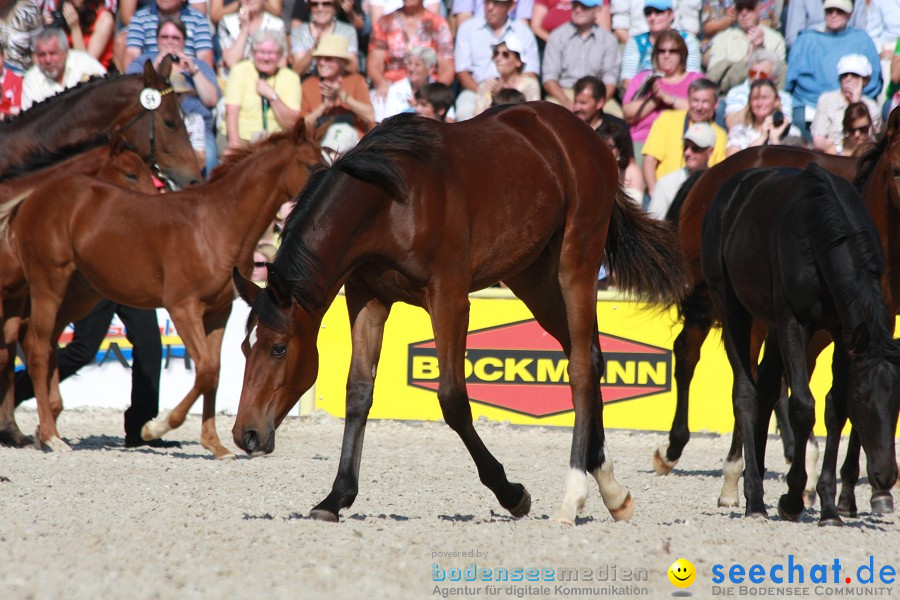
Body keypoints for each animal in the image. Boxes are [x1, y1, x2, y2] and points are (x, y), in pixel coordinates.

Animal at [230, 104, 688, 524]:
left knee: (579, 367)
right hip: (533, 277)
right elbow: (358, 392)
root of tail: (583, 134)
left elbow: (452, 398)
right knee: (590, 356)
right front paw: (336, 496)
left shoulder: (449, 298)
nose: (244, 433)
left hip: (576, 263)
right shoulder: (367, 298)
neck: (389, 203)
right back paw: (611, 489)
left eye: (278, 348)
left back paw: (574, 493)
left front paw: (511, 493)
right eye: (243, 348)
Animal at [704, 162, 900, 524]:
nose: (885, 475)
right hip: (731, 306)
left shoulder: (843, 331)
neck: (821, 230)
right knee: (745, 393)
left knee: (766, 386)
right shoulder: (793, 323)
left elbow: (834, 407)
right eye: (862, 397)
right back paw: (754, 499)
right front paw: (793, 496)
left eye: (897, 399)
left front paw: (829, 507)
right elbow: (803, 406)